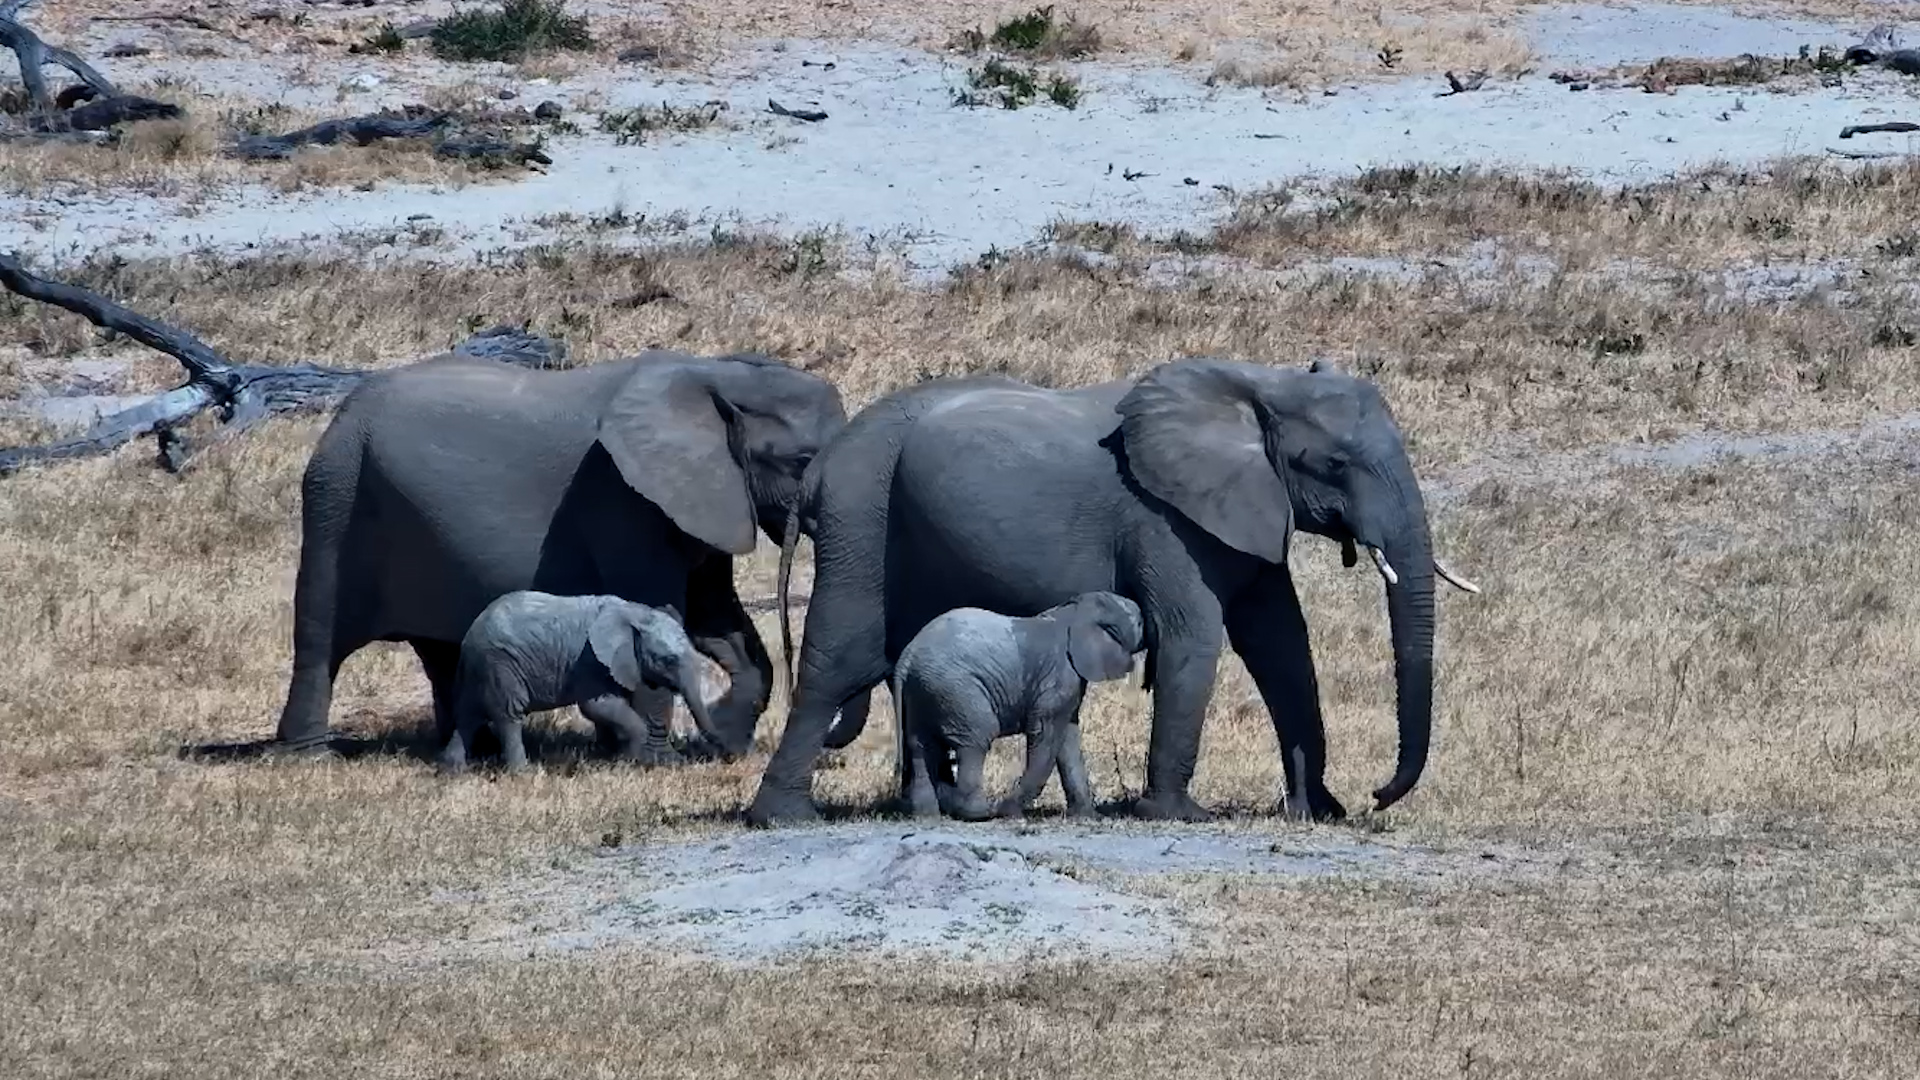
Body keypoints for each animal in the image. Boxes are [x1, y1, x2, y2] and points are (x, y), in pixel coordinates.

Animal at [438, 592, 717, 773]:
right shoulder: (590, 661)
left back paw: (454, 770)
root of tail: (470, 634)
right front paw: (631, 763)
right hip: (500, 664)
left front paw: (616, 758)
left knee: (468, 716)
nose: (714, 752)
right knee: (508, 716)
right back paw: (523, 773)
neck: (635, 614)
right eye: (668, 660)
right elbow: (596, 707)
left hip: (480, 668)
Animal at [893, 592, 1144, 821]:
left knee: (920, 745)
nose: (1144, 618)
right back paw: (982, 811)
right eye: (1140, 622)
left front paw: (1087, 816)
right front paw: (1009, 810)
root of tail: (906, 659)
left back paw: (928, 814)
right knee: (975, 741)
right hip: (957, 690)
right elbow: (1046, 734)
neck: (1074, 611)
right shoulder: (1059, 675)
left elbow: (1067, 739)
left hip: (923, 692)